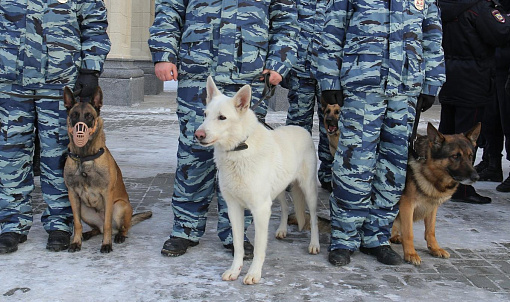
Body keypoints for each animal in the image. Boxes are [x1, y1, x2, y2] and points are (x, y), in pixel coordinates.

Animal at [193, 76, 320, 284]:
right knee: (285, 207)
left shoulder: (260, 209)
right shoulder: (234, 208)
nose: (198, 135)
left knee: (315, 219)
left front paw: (253, 274)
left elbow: (260, 248)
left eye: (222, 117)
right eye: (205, 114)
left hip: (308, 191)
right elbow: (237, 245)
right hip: (278, 191)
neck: (238, 149)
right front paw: (234, 270)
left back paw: (314, 244)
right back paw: (282, 230)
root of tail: (301, 129)